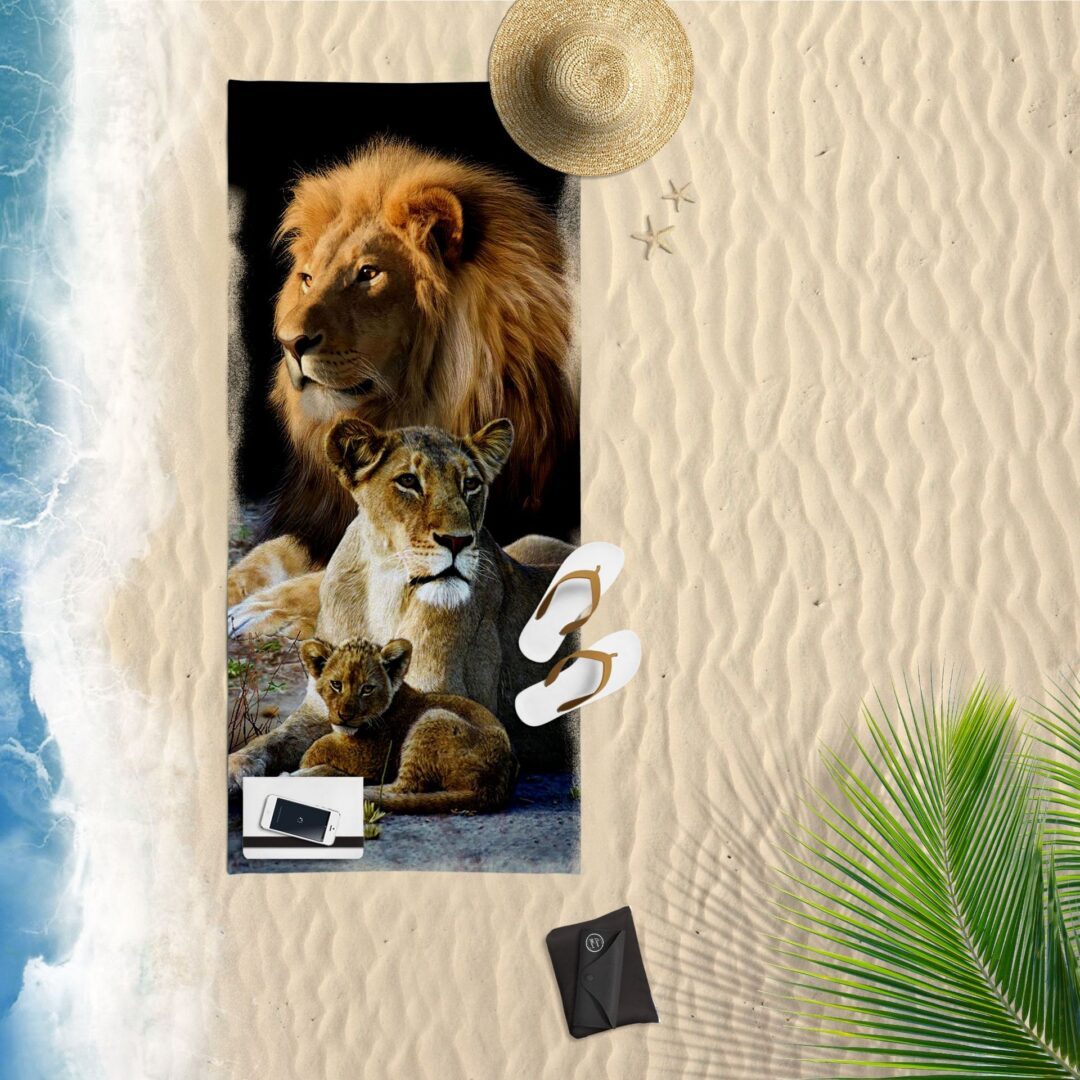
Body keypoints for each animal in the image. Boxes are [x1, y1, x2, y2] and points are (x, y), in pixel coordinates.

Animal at [227, 417, 576, 788]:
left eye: (471, 484)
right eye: (408, 481)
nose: (458, 540)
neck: (387, 591)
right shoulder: (319, 707)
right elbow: (271, 740)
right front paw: (235, 766)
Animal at [295, 636, 517, 815]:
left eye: (367, 689)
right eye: (336, 685)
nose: (345, 716)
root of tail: (492, 788)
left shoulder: (372, 758)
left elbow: (319, 746)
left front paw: (306, 765)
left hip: (432, 717)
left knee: (406, 787)